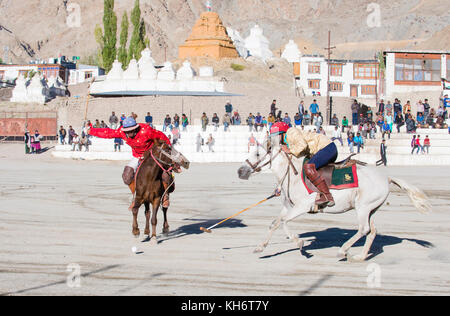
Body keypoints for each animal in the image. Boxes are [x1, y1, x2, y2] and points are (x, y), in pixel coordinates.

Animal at [237, 137, 430, 260]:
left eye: (257, 154)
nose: (240, 171)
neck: (292, 174)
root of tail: (387, 178)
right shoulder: (288, 207)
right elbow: (274, 223)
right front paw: (260, 247)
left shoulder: (302, 207)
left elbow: (284, 223)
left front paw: (300, 242)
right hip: (371, 209)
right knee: (372, 231)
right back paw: (360, 256)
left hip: (363, 208)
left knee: (363, 229)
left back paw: (342, 251)